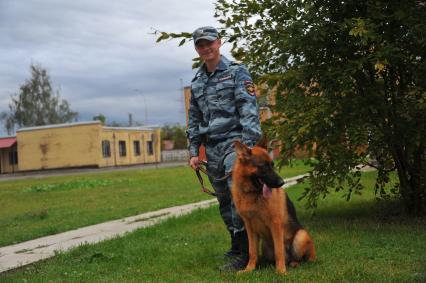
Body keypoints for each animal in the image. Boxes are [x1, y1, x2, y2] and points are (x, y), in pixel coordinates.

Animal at [231, 141, 314, 274]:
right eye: (263, 166)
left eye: (272, 165)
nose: (282, 183)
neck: (253, 195)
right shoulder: (250, 228)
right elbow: (252, 251)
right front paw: (249, 269)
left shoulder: (276, 224)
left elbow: (279, 250)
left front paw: (281, 271)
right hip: (265, 246)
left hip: (301, 236)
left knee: (301, 259)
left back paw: (294, 263)